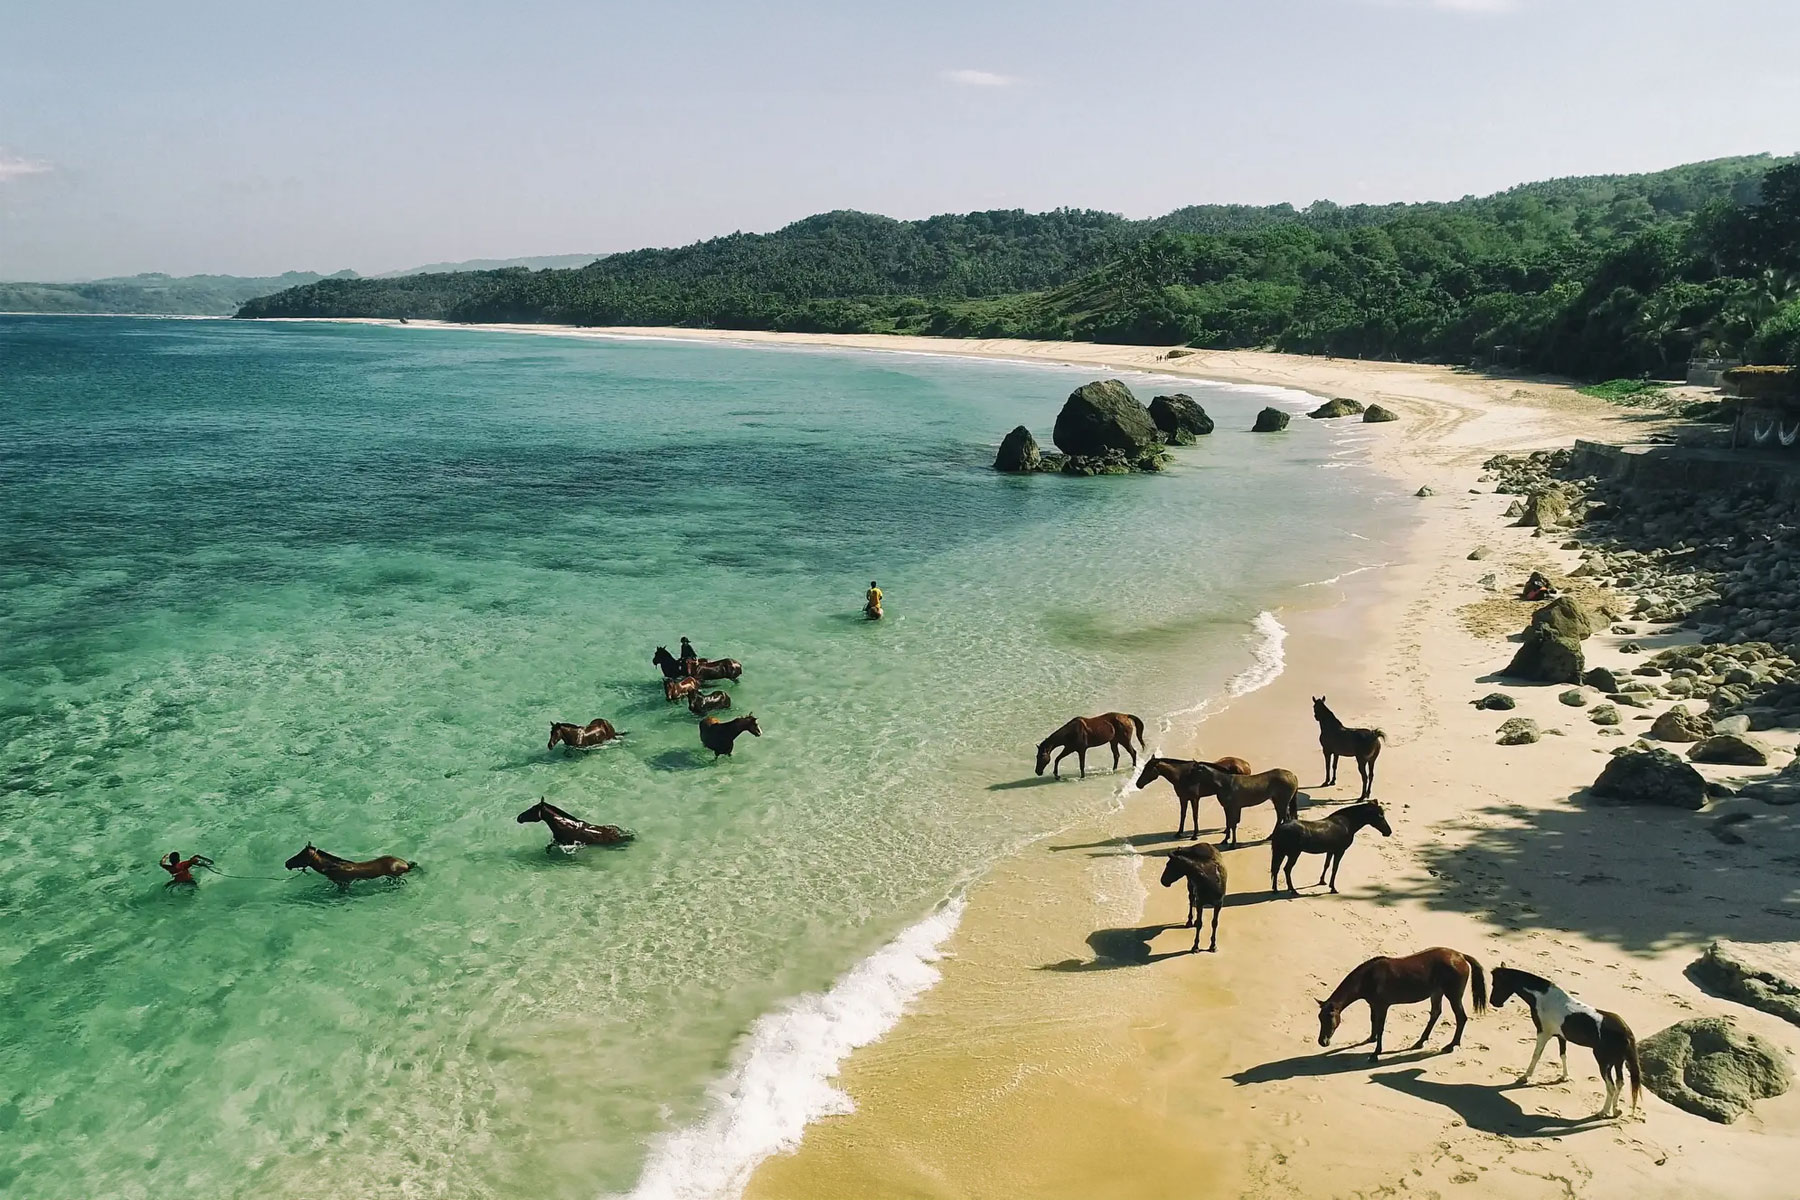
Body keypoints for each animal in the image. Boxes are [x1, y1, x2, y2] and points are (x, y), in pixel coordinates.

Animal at [1317, 947, 1486, 1062]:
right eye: (1319, 1018)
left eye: (1329, 1017)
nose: (1322, 1042)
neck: (1368, 978)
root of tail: (1461, 956)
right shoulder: (1373, 1005)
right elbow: (1373, 1022)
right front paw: (1371, 1039)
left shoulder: (1383, 1006)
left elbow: (1381, 1028)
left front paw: (1375, 1054)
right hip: (1436, 993)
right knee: (1435, 1013)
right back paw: (1420, 1042)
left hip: (1453, 995)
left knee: (1461, 1017)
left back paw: (1451, 1045)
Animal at [1490, 967, 1641, 1118]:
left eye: (1497, 983)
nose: (1493, 1002)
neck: (1543, 997)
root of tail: (1625, 1031)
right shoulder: (1560, 1037)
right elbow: (1563, 1055)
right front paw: (1564, 1077)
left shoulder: (1543, 1033)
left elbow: (1536, 1055)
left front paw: (1524, 1077)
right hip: (1618, 1062)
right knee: (1620, 1083)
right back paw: (1616, 1111)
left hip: (1604, 1062)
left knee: (1611, 1086)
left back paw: (1603, 1112)